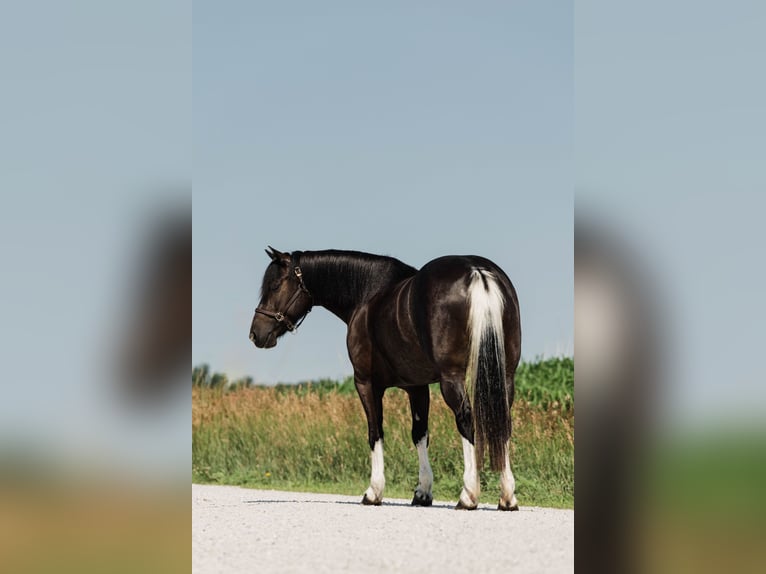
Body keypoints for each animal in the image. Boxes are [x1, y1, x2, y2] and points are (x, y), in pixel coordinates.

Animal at [249, 247, 521, 510]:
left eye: (275, 286)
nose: (255, 334)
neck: (367, 293)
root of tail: (478, 272)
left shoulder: (366, 383)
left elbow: (375, 431)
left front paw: (373, 492)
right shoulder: (417, 386)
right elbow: (420, 434)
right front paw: (422, 493)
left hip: (452, 378)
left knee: (466, 419)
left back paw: (468, 496)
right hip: (505, 376)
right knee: (503, 423)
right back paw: (507, 497)